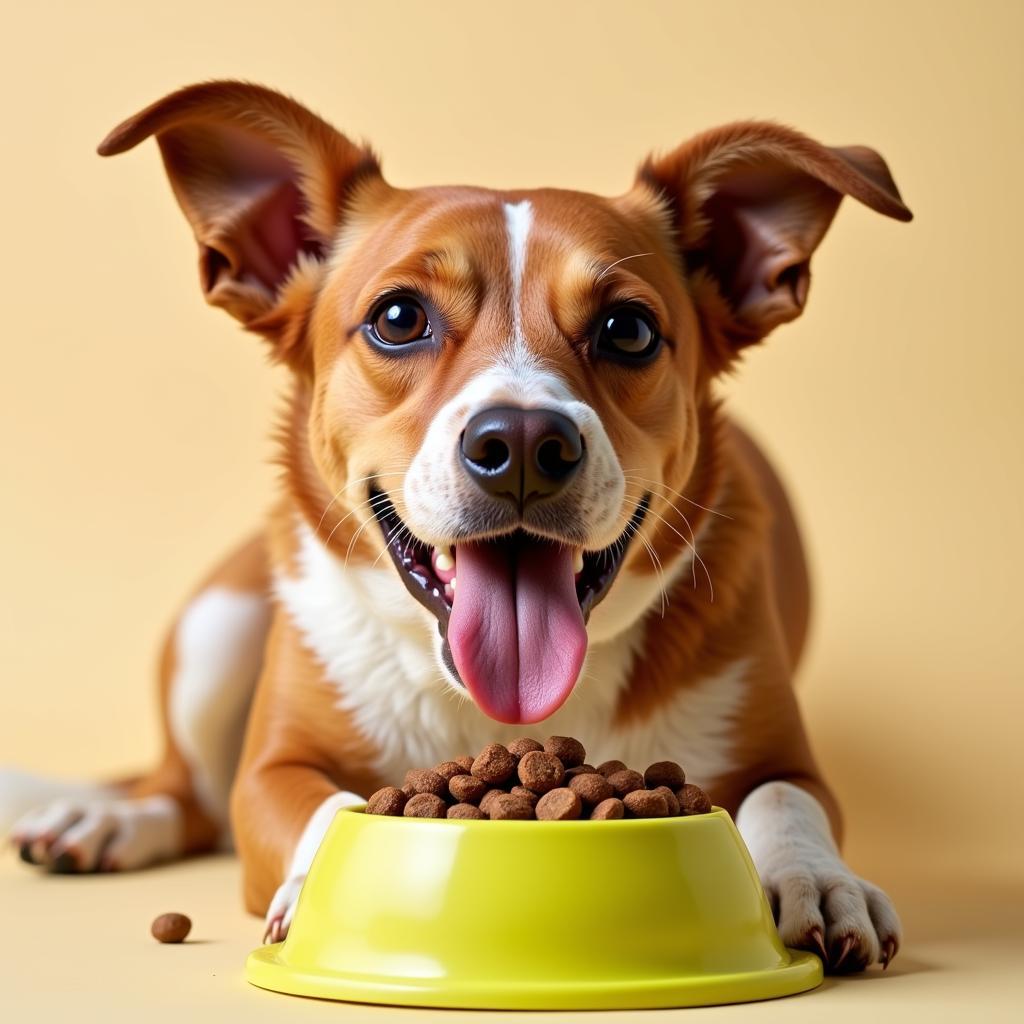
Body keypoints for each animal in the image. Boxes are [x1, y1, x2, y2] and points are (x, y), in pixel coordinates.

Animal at [2, 83, 913, 970]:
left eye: (628, 329)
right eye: (399, 318)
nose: (524, 445)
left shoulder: (787, 757)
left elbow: (785, 798)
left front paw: (819, 880)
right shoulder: (270, 771)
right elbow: (325, 804)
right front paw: (318, 885)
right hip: (215, 629)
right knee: (183, 792)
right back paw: (109, 820)